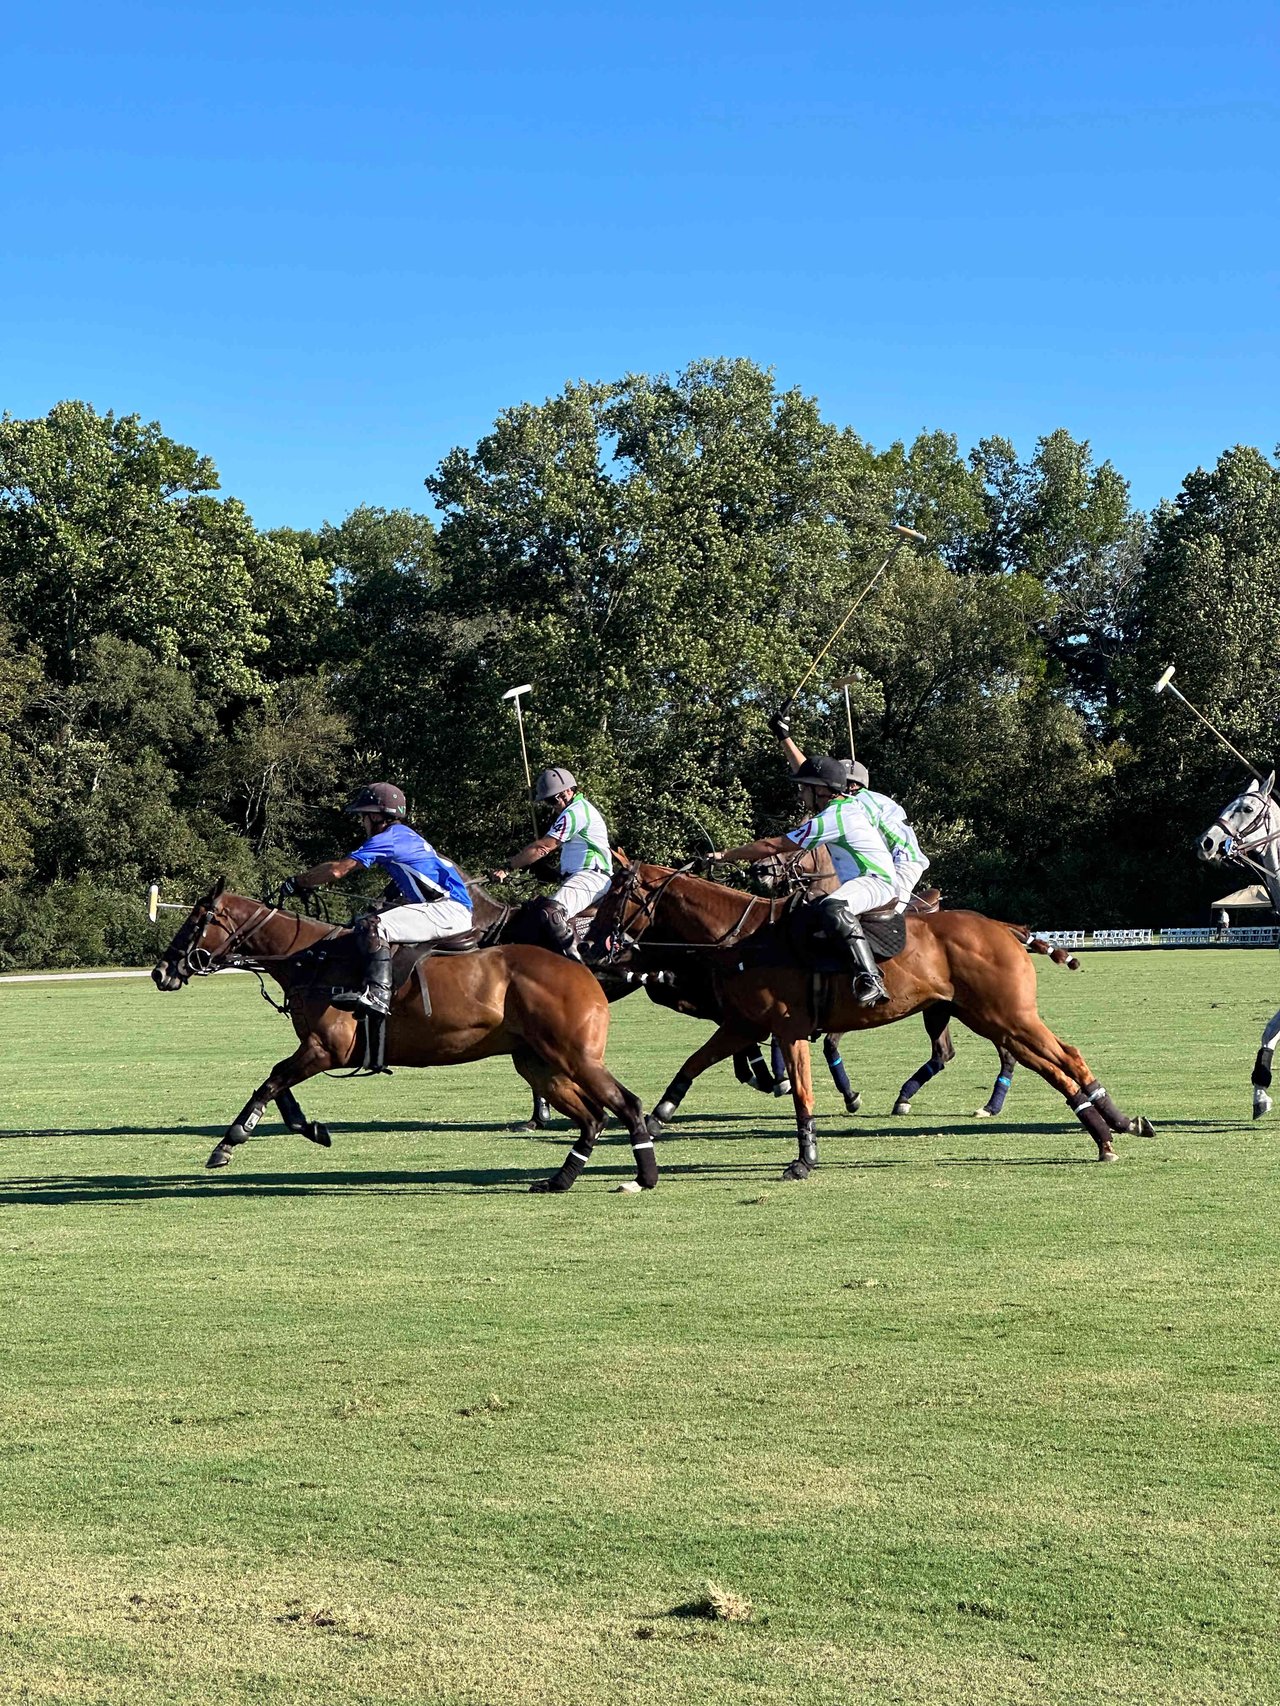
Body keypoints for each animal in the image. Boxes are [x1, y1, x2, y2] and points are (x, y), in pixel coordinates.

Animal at [150, 887, 662, 1194]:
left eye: (196, 922)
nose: (161, 972)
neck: (312, 960)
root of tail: (581, 968)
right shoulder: (317, 1049)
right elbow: (281, 1089)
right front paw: (310, 1128)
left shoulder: (326, 1049)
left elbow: (272, 1081)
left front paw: (228, 1143)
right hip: (538, 1063)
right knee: (593, 1116)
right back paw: (559, 1180)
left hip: (575, 1056)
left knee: (626, 1103)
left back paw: (642, 1177)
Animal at [590, 859, 1153, 1180]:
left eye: (615, 895)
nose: (593, 946)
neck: (742, 939)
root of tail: (1005, 927)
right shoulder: (745, 1024)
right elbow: (692, 1064)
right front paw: (656, 1118)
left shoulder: (787, 1028)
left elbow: (801, 1093)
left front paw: (804, 1160)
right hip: (991, 1017)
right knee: (1053, 1063)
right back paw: (1113, 1127)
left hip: (1005, 1015)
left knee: (1063, 1057)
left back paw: (1109, 1130)